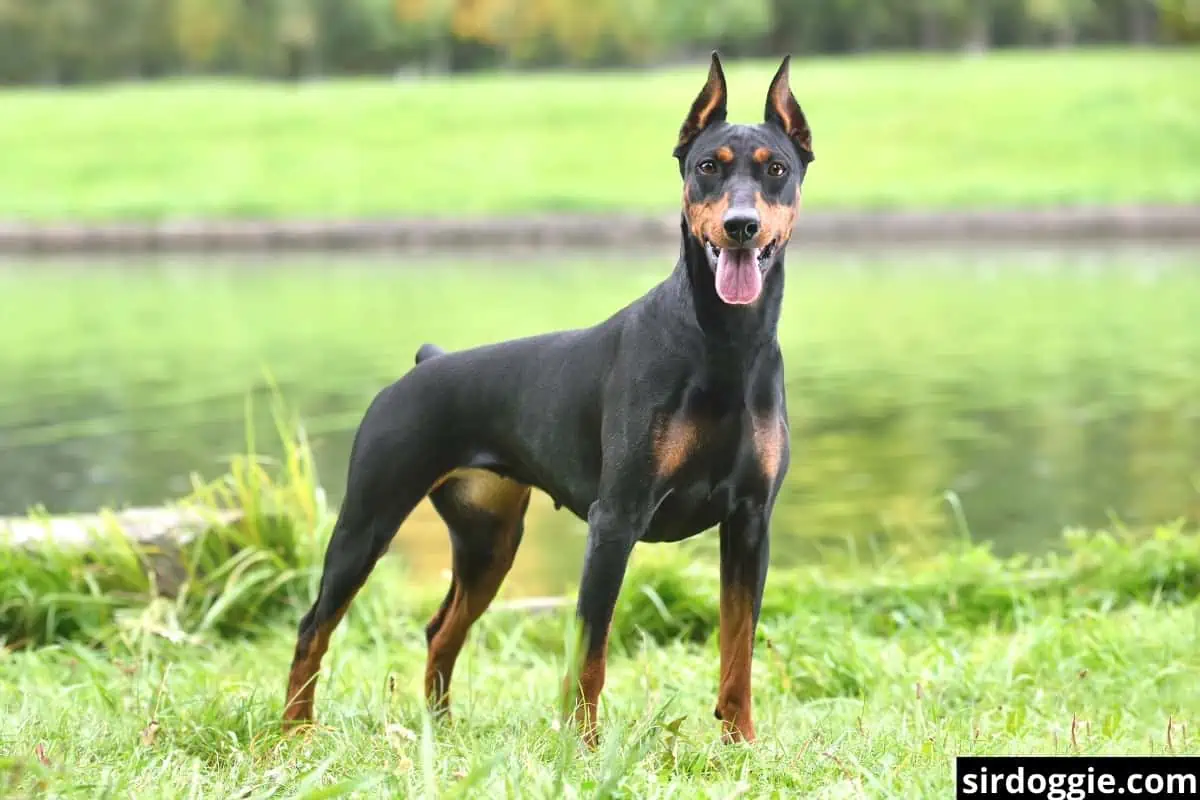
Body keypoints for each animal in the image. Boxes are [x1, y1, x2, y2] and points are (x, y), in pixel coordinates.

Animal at [283, 51, 816, 743]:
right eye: (707, 167)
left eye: (776, 169)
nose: (740, 226)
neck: (725, 344)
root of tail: (428, 363)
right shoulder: (615, 521)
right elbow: (591, 651)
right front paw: (584, 746)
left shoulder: (750, 522)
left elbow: (738, 648)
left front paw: (741, 744)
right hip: (367, 521)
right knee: (313, 626)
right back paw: (292, 733)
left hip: (488, 540)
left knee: (440, 630)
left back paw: (440, 732)